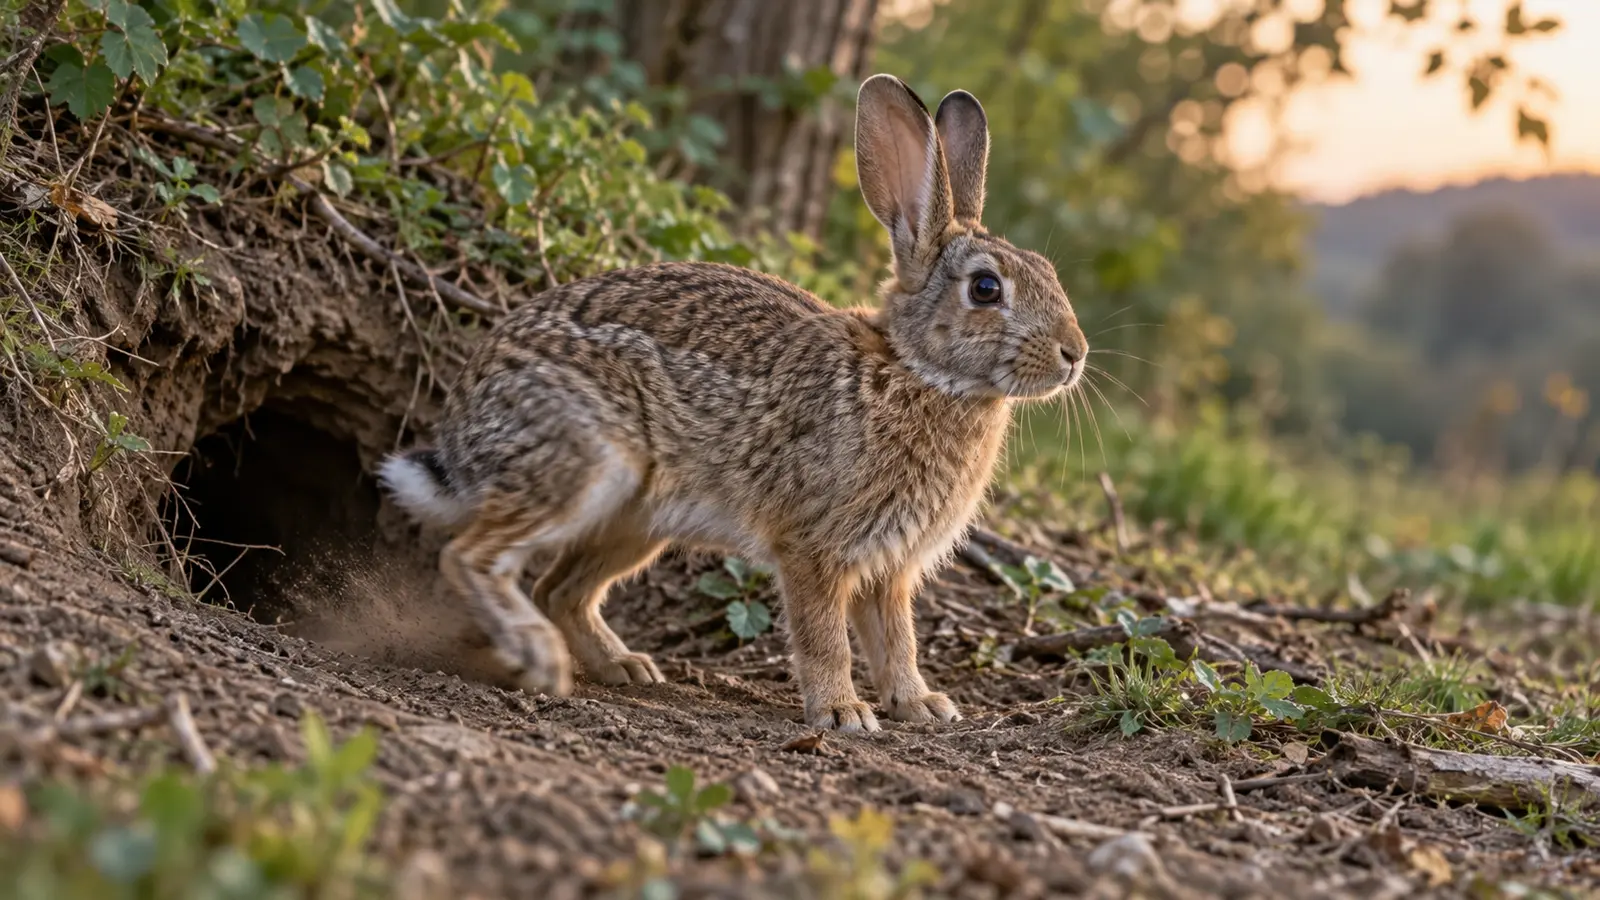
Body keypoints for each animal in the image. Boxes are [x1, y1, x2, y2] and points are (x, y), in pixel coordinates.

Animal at [377, 73, 1087, 732]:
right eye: (986, 288)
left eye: (1050, 274)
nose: (1074, 354)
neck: (916, 370)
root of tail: (463, 428)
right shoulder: (813, 547)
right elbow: (825, 637)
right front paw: (843, 713)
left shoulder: (890, 567)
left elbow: (898, 641)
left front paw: (923, 706)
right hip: (580, 463)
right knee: (471, 555)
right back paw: (539, 656)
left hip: (638, 519)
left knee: (560, 589)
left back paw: (625, 666)